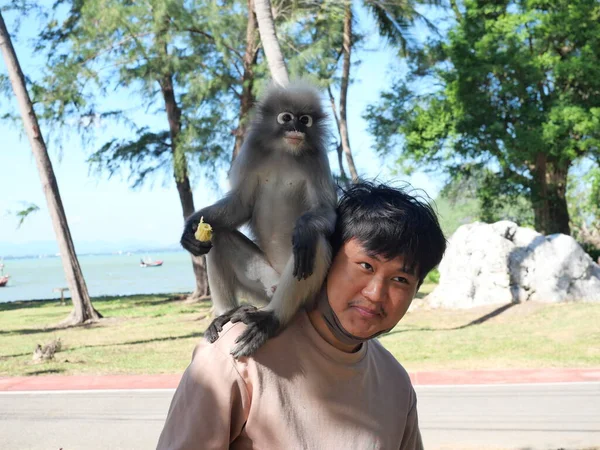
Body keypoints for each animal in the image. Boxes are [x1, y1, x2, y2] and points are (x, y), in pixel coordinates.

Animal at [178, 81, 338, 358]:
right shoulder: (251, 150)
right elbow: (239, 204)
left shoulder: (317, 157)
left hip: (302, 289)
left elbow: (327, 211)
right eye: (286, 118)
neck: (284, 151)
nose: (296, 129)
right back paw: (225, 315)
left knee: (312, 243)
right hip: (263, 284)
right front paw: (191, 228)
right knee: (219, 235)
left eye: (305, 120)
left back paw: (268, 321)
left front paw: (304, 226)